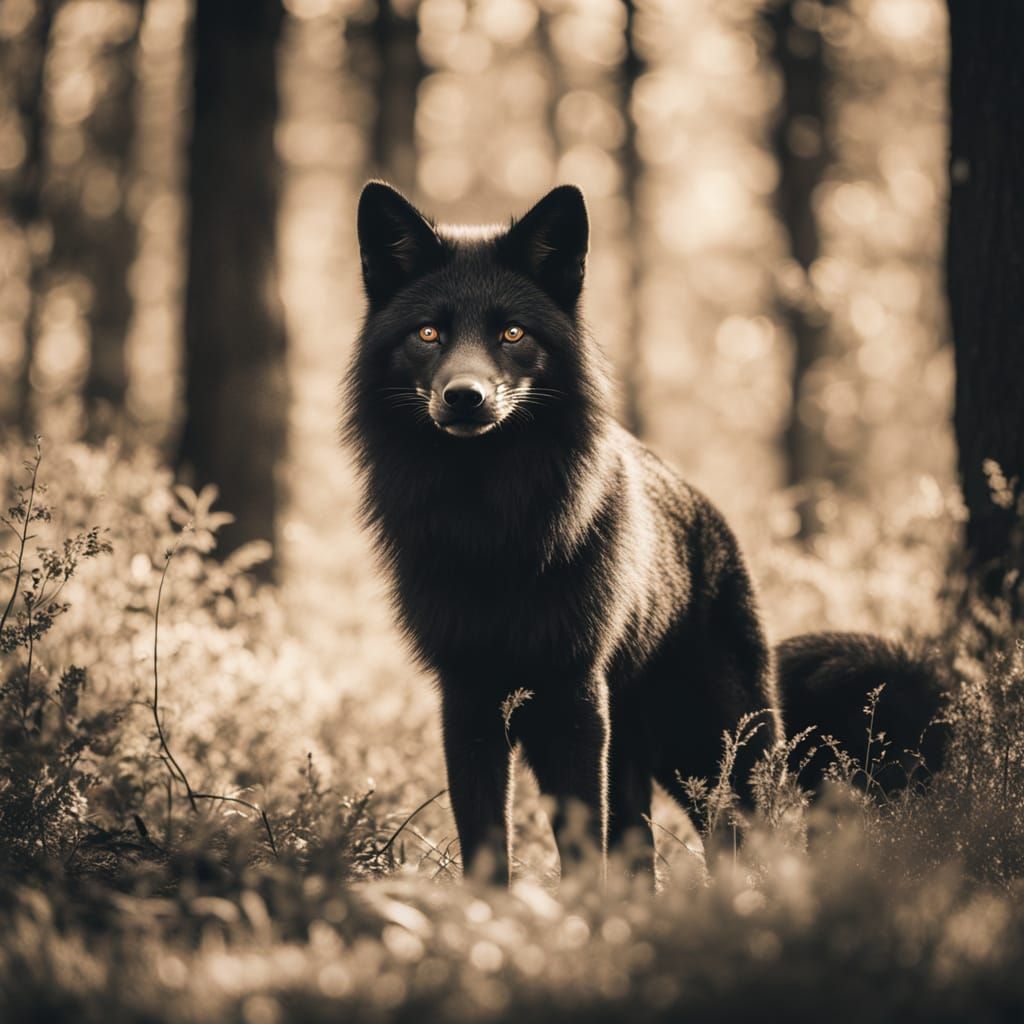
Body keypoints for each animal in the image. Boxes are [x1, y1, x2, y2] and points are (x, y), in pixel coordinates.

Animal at [344, 181, 945, 883]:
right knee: (645, 857)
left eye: (512, 333)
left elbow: (582, 847)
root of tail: (706, 511)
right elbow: (488, 844)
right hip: (642, 752)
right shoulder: (468, 698)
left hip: (711, 750)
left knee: (751, 839)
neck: (491, 521)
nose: (465, 396)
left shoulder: (572, 698)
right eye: (429, 334)